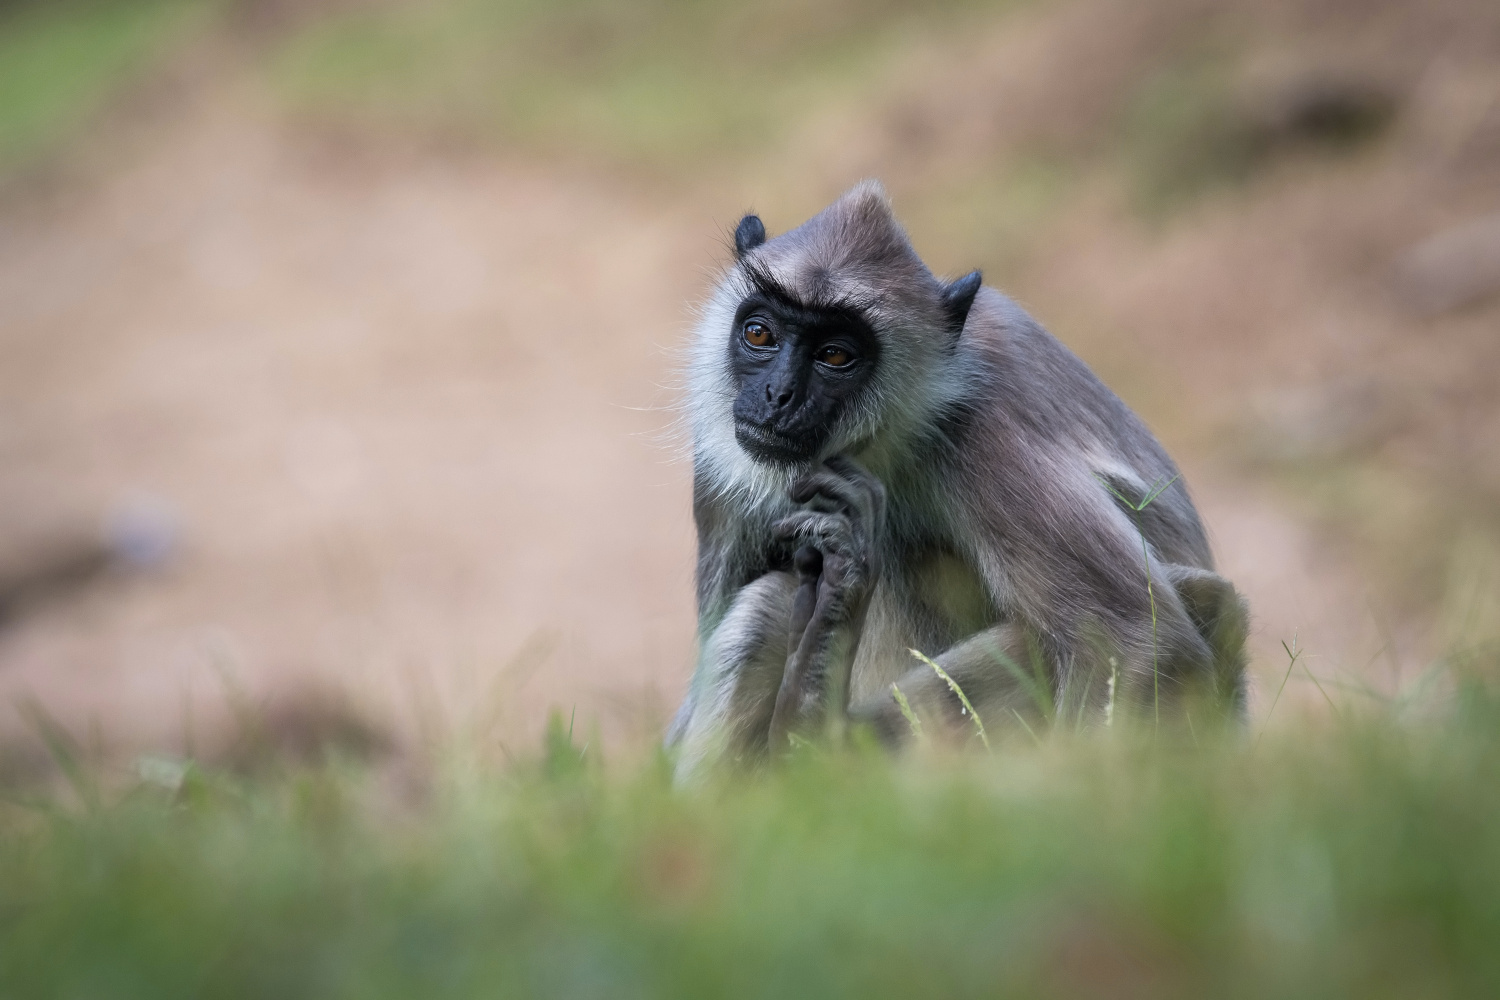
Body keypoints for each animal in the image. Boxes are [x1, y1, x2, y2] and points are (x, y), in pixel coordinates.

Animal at [666, 183, 1242, 779]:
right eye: (759, 333)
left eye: (835, 354)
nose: (777, 395)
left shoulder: (979, 430)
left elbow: (1138, 646)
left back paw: (817, 733)